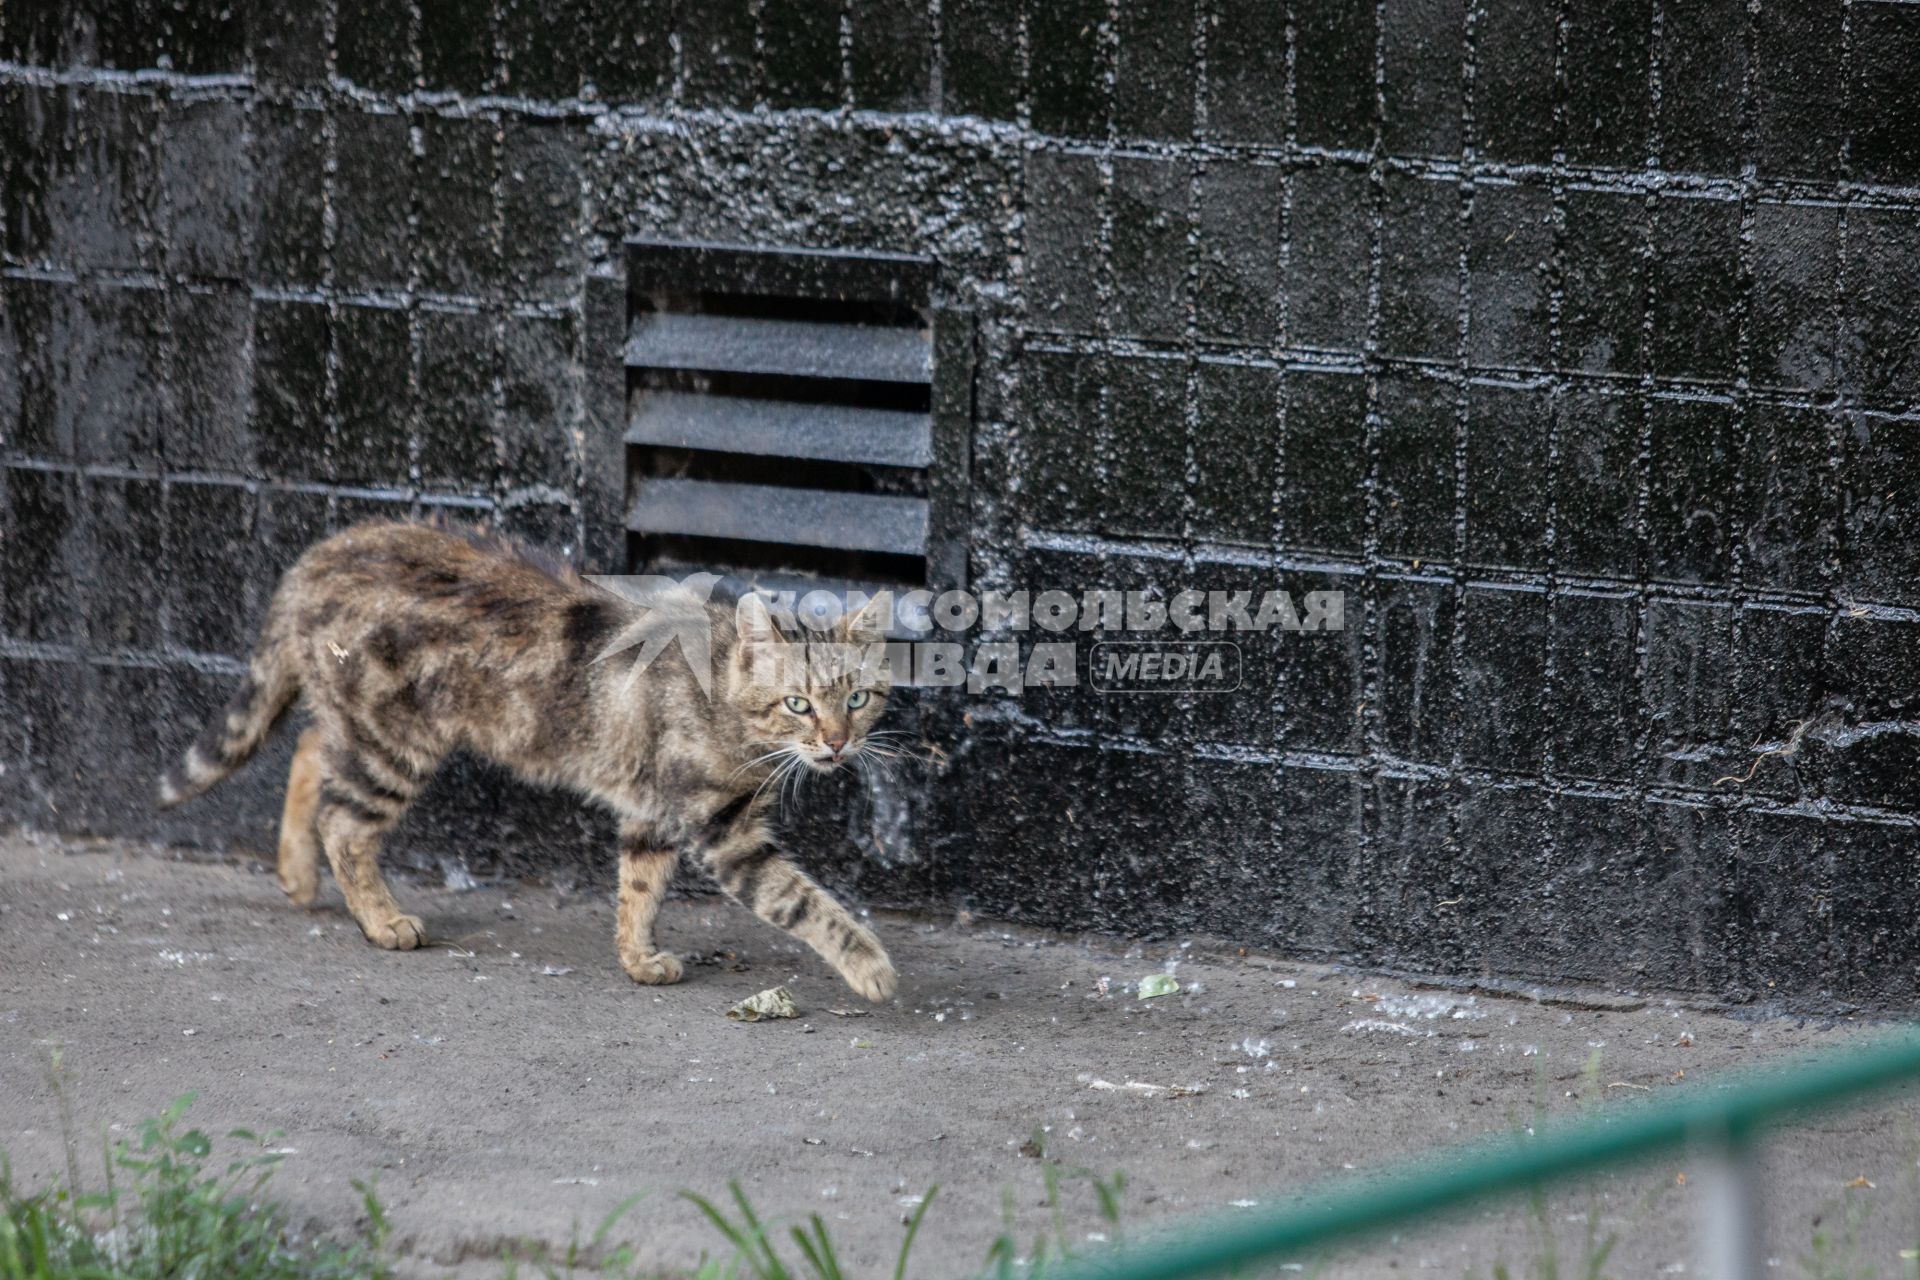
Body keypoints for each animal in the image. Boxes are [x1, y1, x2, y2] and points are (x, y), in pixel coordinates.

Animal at [153, 521, 894, 997]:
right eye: (799, 703)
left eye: (857, 698)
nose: (836, 742)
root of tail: (319, 554)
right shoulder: (723, 830)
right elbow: (800, 899)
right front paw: (870, 966)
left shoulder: (652, 810)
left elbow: (639, 888)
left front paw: (638, 958)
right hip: (393, 742)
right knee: (344, 822)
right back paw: (380, 919)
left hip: (361, 727)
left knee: (310, 750)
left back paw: (296, 872)